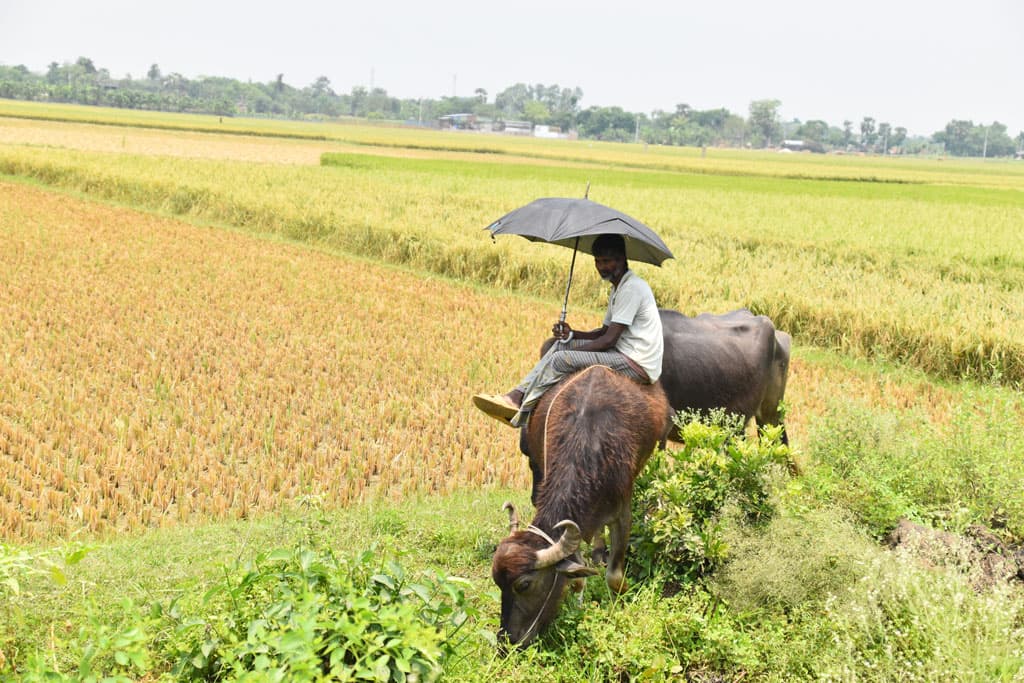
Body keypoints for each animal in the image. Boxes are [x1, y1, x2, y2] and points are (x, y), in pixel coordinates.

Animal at [489, 366, 671, 651]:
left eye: (524, 584)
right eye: (497, 583)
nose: (507, 642)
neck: (589, 445)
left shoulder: (622, 513)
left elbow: (614, 576)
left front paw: (619, 605)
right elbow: (578, 576)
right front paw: (578, 605)